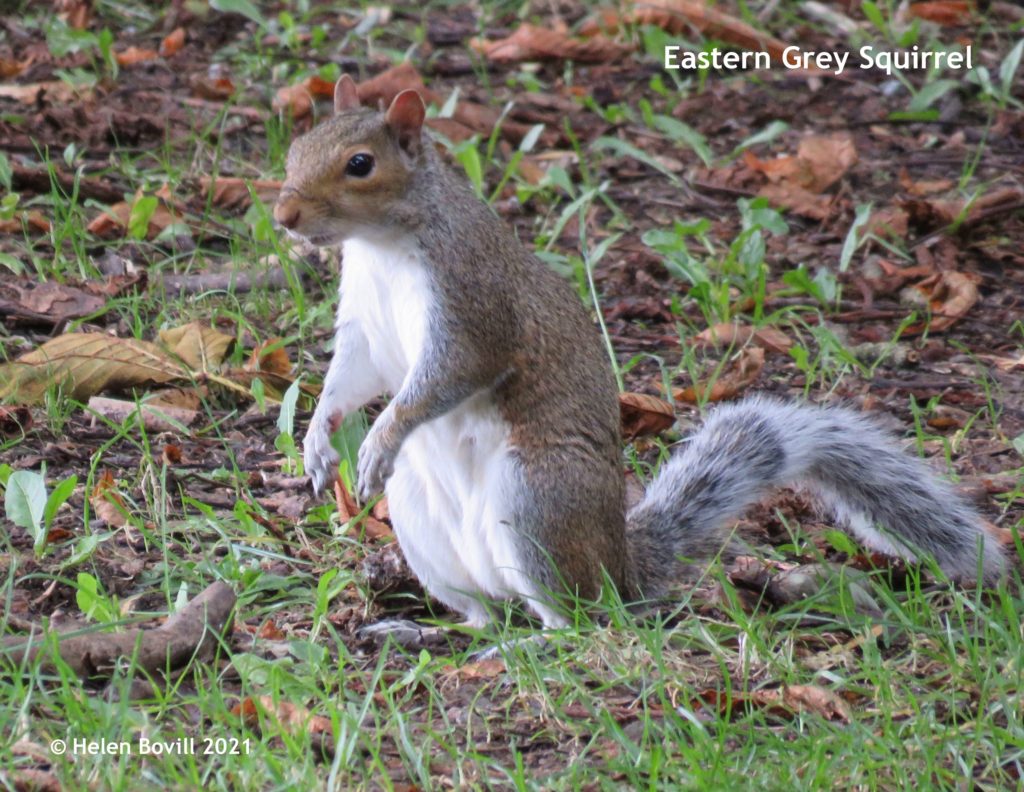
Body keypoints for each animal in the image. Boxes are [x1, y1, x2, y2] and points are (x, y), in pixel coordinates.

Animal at [272, 75, 1007, 631]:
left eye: (360, 165)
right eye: (296, 147)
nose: (283, 218)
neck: (384, 243)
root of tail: (619, 569)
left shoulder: (471, 302)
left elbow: (447, 375)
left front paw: (381, 435)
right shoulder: (364, 324)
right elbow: (351, 377)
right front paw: (319, 438)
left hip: (537, 500)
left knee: (580, 621)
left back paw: (535, 639)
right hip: (424, 525)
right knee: (489, 610)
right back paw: (430, 630)